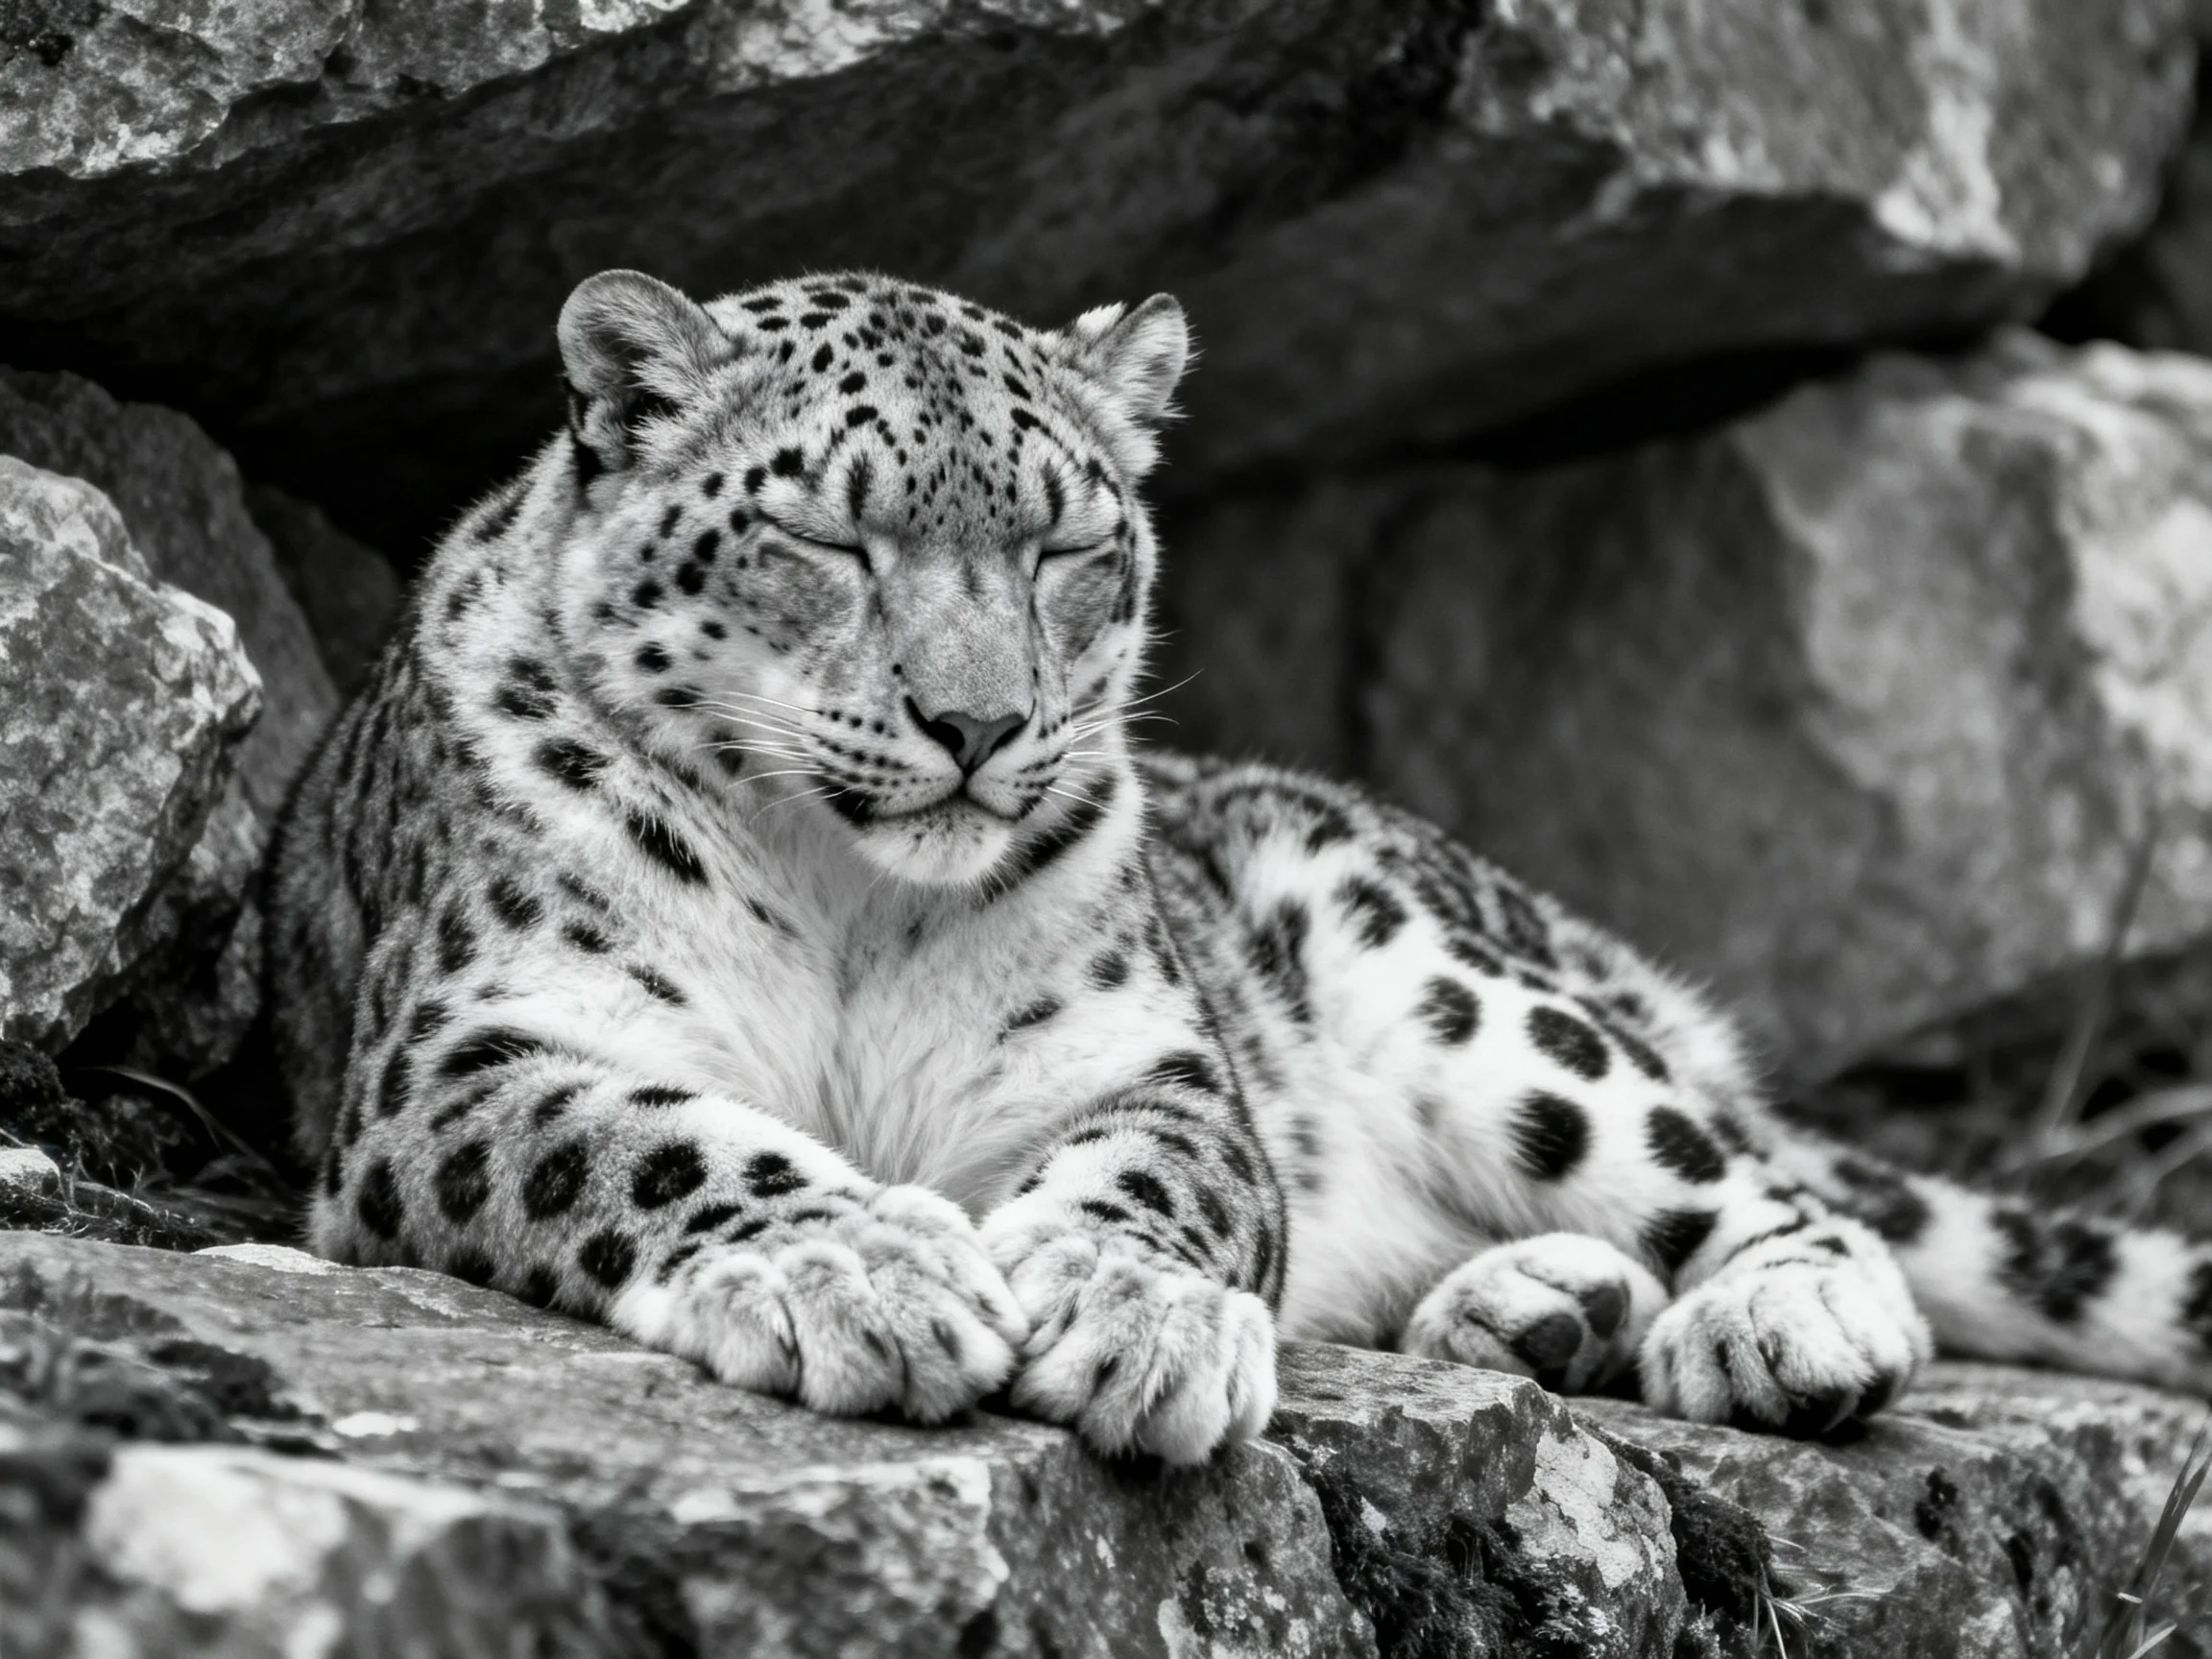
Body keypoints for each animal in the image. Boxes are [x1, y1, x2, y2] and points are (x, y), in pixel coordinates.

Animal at [266, 267, 2212, 1464]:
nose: (975, 722)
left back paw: (1768, 1322)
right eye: (826, 535)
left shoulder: (1139, 1056)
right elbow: (656, 1139)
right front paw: (870, 1271)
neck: (848, 901)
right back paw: (1545, 1312)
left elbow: (1157, 1178)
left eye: (1066, 545)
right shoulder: (474, 1047)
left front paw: (1133, 1322)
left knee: (1756, 1181)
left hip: (1449, 977)